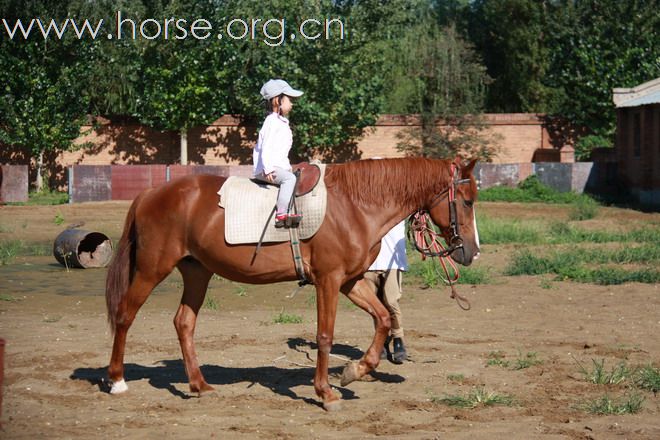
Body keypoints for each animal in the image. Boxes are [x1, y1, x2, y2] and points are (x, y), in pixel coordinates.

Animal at [107, 157, 480, 410]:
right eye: (467, 200)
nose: (472, 251)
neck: (354, 205)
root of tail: (150, 193)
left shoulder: (350, 281)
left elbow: (384, 318)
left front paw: (354, 371)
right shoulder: (329, 281)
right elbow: (325, 336)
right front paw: (325, 392)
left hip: (197, 272)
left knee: (184, 322)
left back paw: (199, 385)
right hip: (152, 270)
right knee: (125, 315)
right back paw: (116, 380)